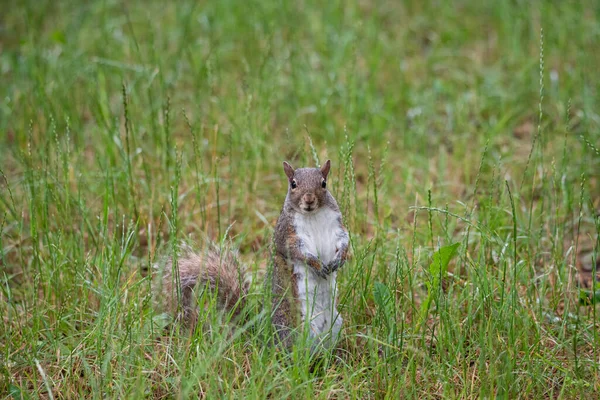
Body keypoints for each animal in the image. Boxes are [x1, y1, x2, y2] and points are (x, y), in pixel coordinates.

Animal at [157, 159, 350, 350]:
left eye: (323, 183)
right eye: (293, 184)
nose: (309, 199)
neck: (313, 215)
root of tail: (263, 335)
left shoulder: (337, 227)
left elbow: (345, 242)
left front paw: (339, 260)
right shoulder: (287, 235)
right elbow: (298, 252)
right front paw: (316, 264)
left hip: (335, 323)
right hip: (297, 329)